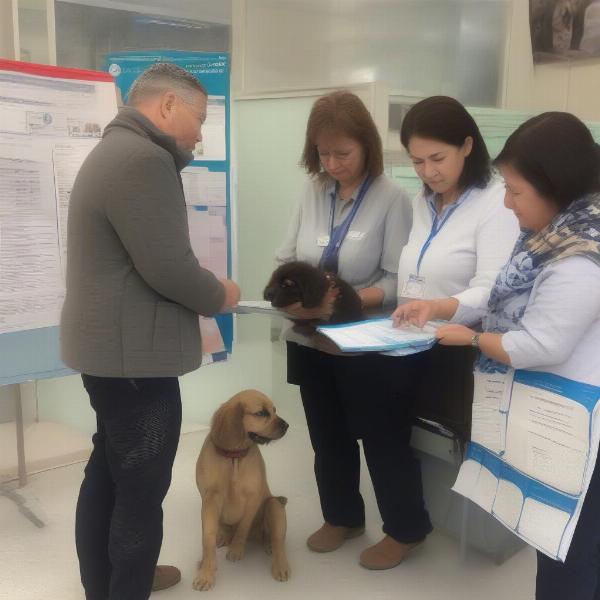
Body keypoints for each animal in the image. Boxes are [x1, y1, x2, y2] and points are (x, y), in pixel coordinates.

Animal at [193, 390, 290, 592]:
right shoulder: (209, 500)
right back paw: (223, 538)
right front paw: (206, 571)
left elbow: (243, 526)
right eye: (261, 413)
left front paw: (236, 549)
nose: (287, 425)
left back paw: (278, 561)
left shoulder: (253, 498)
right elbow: (207, 537)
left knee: (278, 540)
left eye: (274, 410)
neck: (234, 458)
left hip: (273, 505)